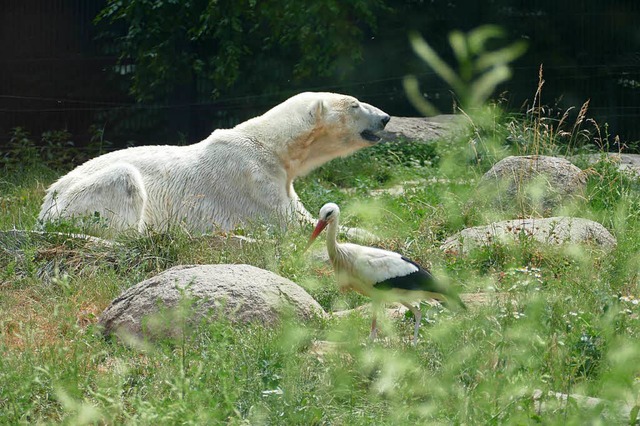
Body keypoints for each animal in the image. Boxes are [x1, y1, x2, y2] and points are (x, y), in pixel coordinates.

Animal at [40, 91, 392, 235]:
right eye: (355, 104)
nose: (386, 117)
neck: (272, 146)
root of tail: (44, 208)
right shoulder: (252, 179)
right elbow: (293, 224)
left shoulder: (282, 180)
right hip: (78, 199)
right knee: (123, 183)